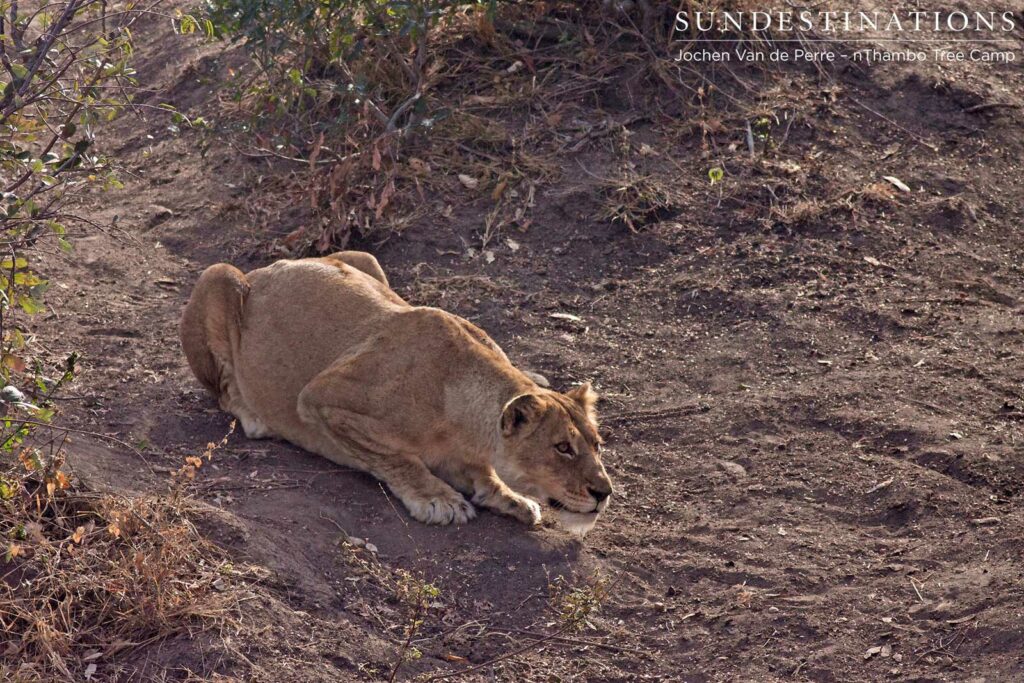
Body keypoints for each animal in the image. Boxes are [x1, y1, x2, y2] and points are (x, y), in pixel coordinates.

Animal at [179, 251, 613, 534]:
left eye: (597, 445)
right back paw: (253, 416)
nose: (604, 493)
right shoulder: (321, 398)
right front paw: (438, 499)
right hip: (219, 276)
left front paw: (508, 496)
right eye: (562, 448)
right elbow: (398, 457)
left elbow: (483, 474)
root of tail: (267, 267)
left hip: (365, 258)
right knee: (224, 392)